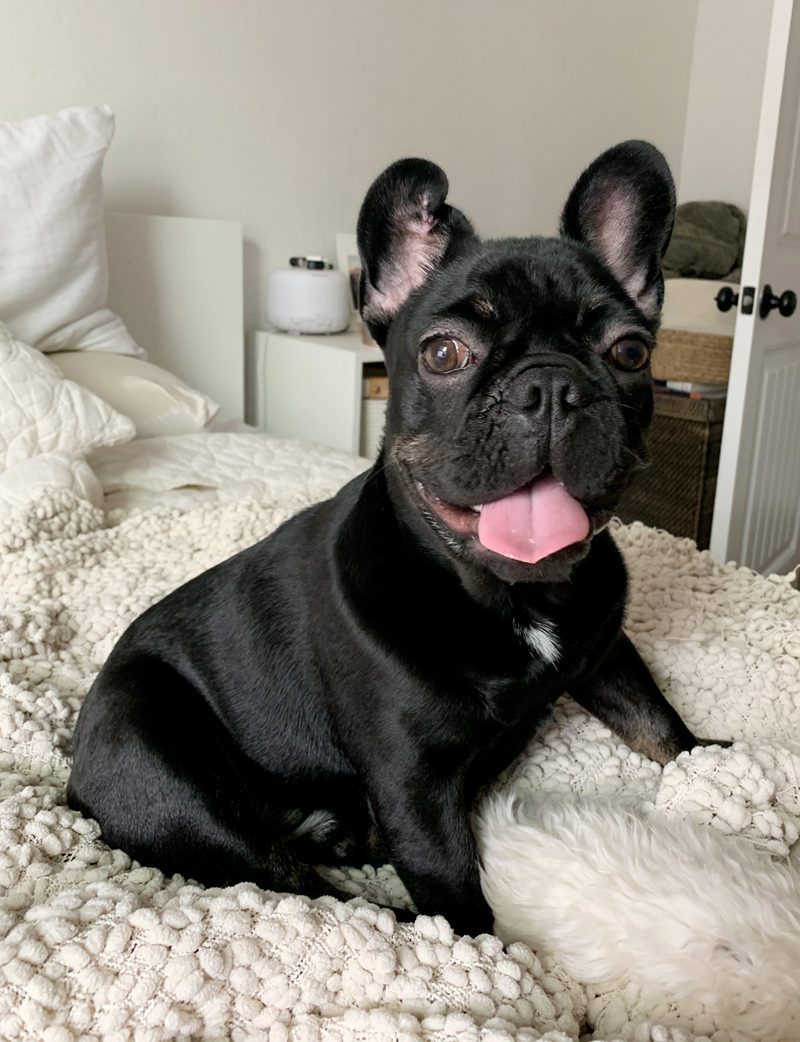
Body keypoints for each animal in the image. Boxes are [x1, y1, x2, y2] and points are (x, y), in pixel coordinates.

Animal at [68, 140, 716, 937]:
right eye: (443, 355)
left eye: (630, 352)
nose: (550, 386)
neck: (511, 596)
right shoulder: (415, 786)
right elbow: (458, 900)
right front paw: (496, 954)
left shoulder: (606, 653)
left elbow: (659, 721)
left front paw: (717, 761)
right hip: (165, 766)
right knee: (303, 891)